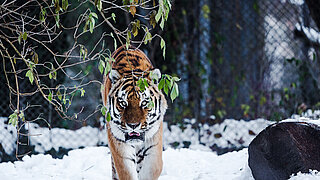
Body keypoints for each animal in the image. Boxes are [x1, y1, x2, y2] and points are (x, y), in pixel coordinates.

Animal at [101, 45, 168, 180]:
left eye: (144, 102)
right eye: (123, 103)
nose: (133, 125)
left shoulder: (154, 140)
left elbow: (152, 168)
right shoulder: (118, 143)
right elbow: (126, 172)